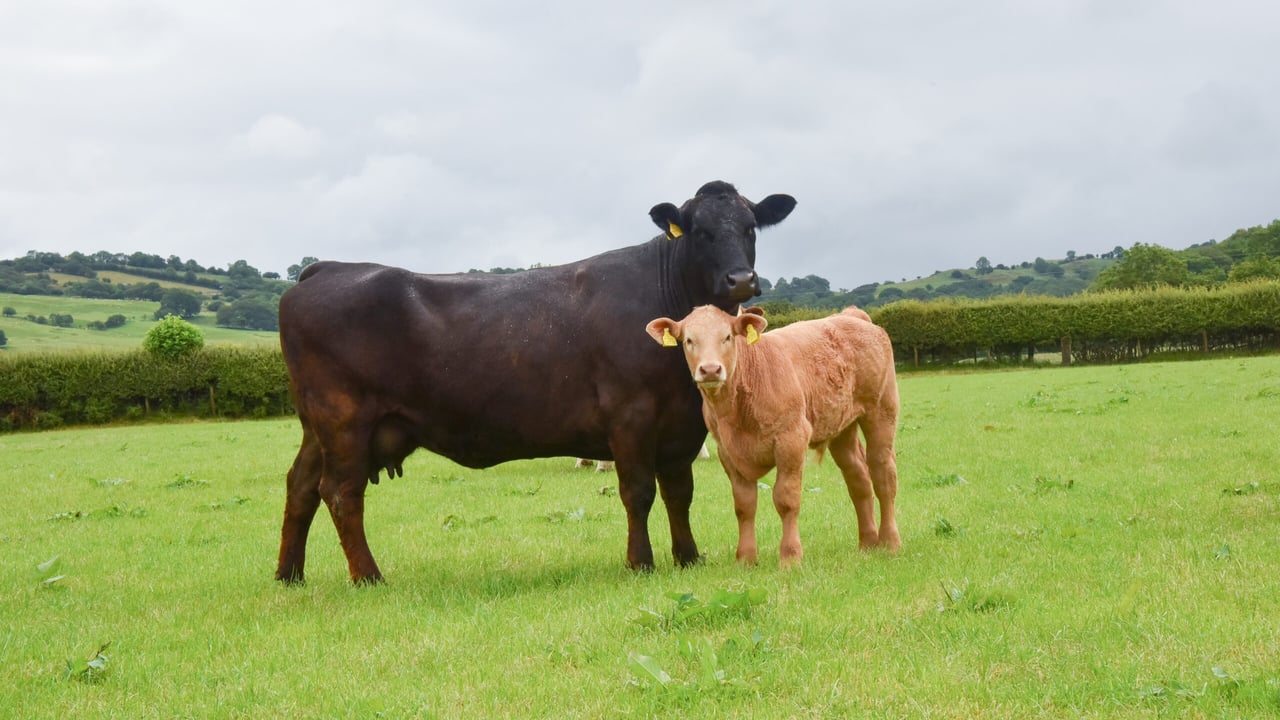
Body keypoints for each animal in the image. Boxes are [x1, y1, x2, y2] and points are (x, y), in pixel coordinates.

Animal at [275, 181, 796, 584]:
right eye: (700, 232)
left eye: (750, 227)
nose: (740, 279)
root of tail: (328, 267)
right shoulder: (630, 417)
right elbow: (638, 492)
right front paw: (640, 563)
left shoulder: (680, 426)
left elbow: (678, 492)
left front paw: (688, 558)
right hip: (344, 421)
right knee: (341, 492)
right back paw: (368, 576)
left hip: (318, 426)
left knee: (301, 485)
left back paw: (289, 575)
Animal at [644, 305, 899, 567]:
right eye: (688, 340)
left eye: (727, 337)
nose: (710, 369)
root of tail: (850, 315)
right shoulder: (728, 452)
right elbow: (744, 504)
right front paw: (746, 559)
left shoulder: (791, 440)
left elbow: (786, 499)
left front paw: (791, 557)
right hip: (842, 428)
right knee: (858, 478)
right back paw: (868, 543)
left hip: (881, 412)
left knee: (883, 475)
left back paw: (890, 542)